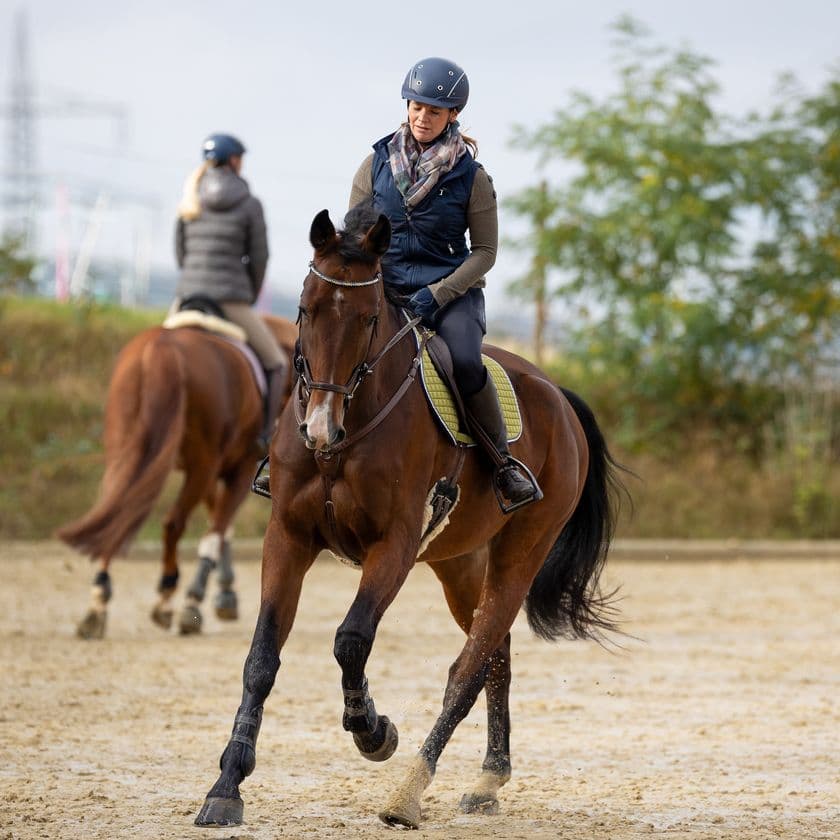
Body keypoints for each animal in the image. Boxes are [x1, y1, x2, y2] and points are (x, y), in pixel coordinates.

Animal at [56, 313, 297, 640]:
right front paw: (199, 600)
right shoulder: (238, 466)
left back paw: (98, 604)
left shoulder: (213, 470)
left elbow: (219, 525)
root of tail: (160, 347)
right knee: (172, 523)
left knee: (118, 514)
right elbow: (218, 527)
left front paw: (225, 594)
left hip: (127, 450)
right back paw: (170, 600)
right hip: (202, 462)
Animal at [194, 207, 624, 829]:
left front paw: (373, 731)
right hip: (461, 564)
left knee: (467, 671)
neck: (347, 435)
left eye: (370, 318)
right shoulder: (289, 539)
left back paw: (408, 792)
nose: (319, 427)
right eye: (305, 307)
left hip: (521, 552)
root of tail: (557, 395)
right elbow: (261, 659)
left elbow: (351, 640)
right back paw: (489, 779)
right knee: (496, 656)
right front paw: (227, 785)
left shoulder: (393, 546)